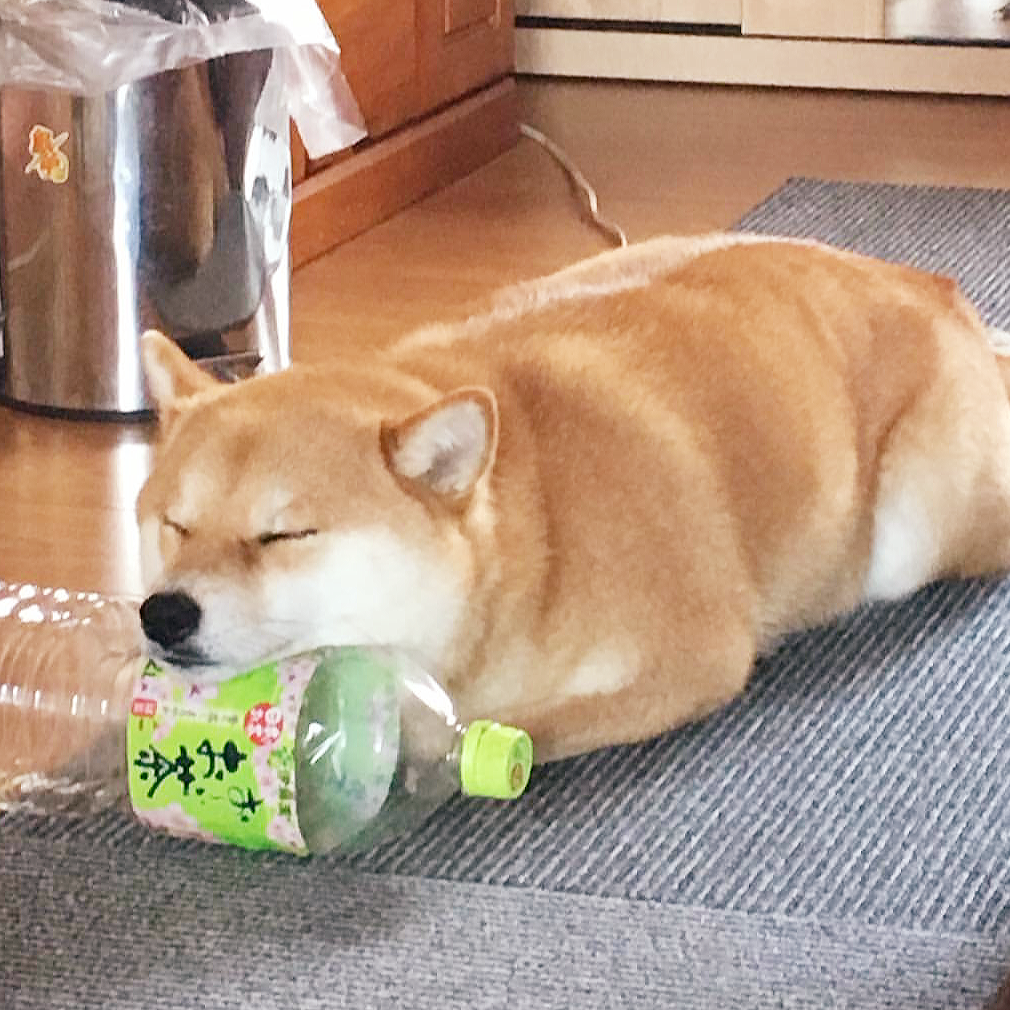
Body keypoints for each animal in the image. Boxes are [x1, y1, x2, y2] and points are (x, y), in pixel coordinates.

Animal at [138, 234, 1010, 759]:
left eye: (283, 536)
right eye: (173, 524)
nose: (163, 612)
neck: (536, 520)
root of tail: (938, 289)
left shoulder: (687, 660)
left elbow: (495, 728)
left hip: (911, 531)